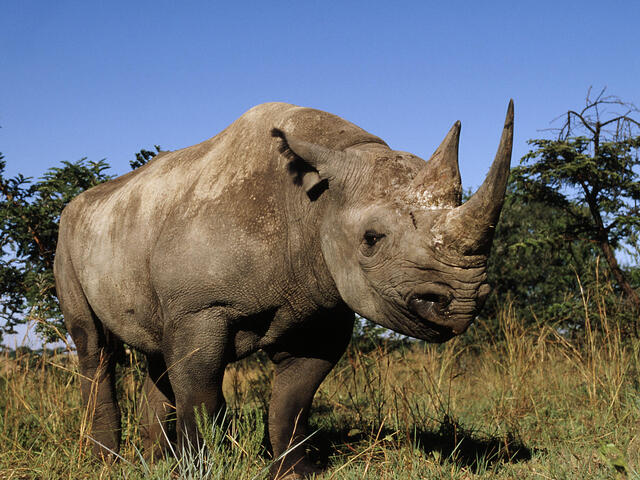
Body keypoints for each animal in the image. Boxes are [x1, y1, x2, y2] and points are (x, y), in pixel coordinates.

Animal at [54, 101, 513, 479]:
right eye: (371, 239)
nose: (462, 304)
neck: (315, 203)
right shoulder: (200, 307)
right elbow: (200, 390)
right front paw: (199, 469)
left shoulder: (324, 307)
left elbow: (294, 399)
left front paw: (296, 472)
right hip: (68, 234)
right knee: (95, 346)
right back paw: (105, 461)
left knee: (156, 350)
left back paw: (151, 460)